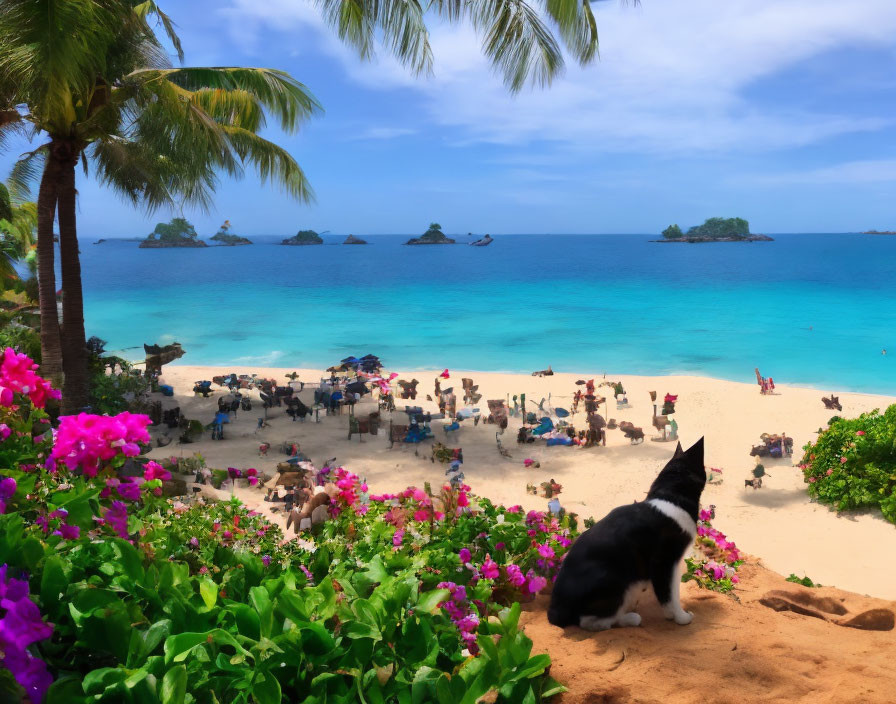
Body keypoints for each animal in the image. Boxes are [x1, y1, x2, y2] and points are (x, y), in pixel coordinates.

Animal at [544, 438, 708, 628]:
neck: (670, 496)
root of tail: (554, 613)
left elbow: (662, 593)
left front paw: (669, 615)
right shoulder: (666, 561)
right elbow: (670, 594)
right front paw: (681, 617)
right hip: (614, 578)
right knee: (589, 621)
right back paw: (629, 618)